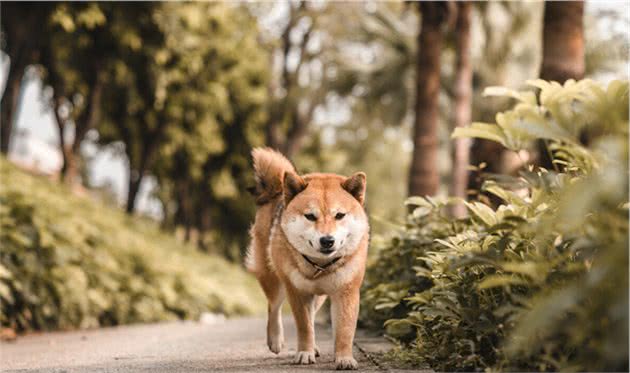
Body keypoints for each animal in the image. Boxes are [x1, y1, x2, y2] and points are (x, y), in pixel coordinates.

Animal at [247, 147, 370, 370]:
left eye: (340, 215)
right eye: (310, 216)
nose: (327, 240)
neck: (319, 265)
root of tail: (278, 191)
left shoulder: (346, 292)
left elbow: (345, 331)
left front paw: (344, 358)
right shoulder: (296, 291)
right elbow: (303, 326)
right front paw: (304, 353)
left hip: (319, 296)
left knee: (311, 314)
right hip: (274, 279)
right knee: (273, 307)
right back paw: (275, 340)